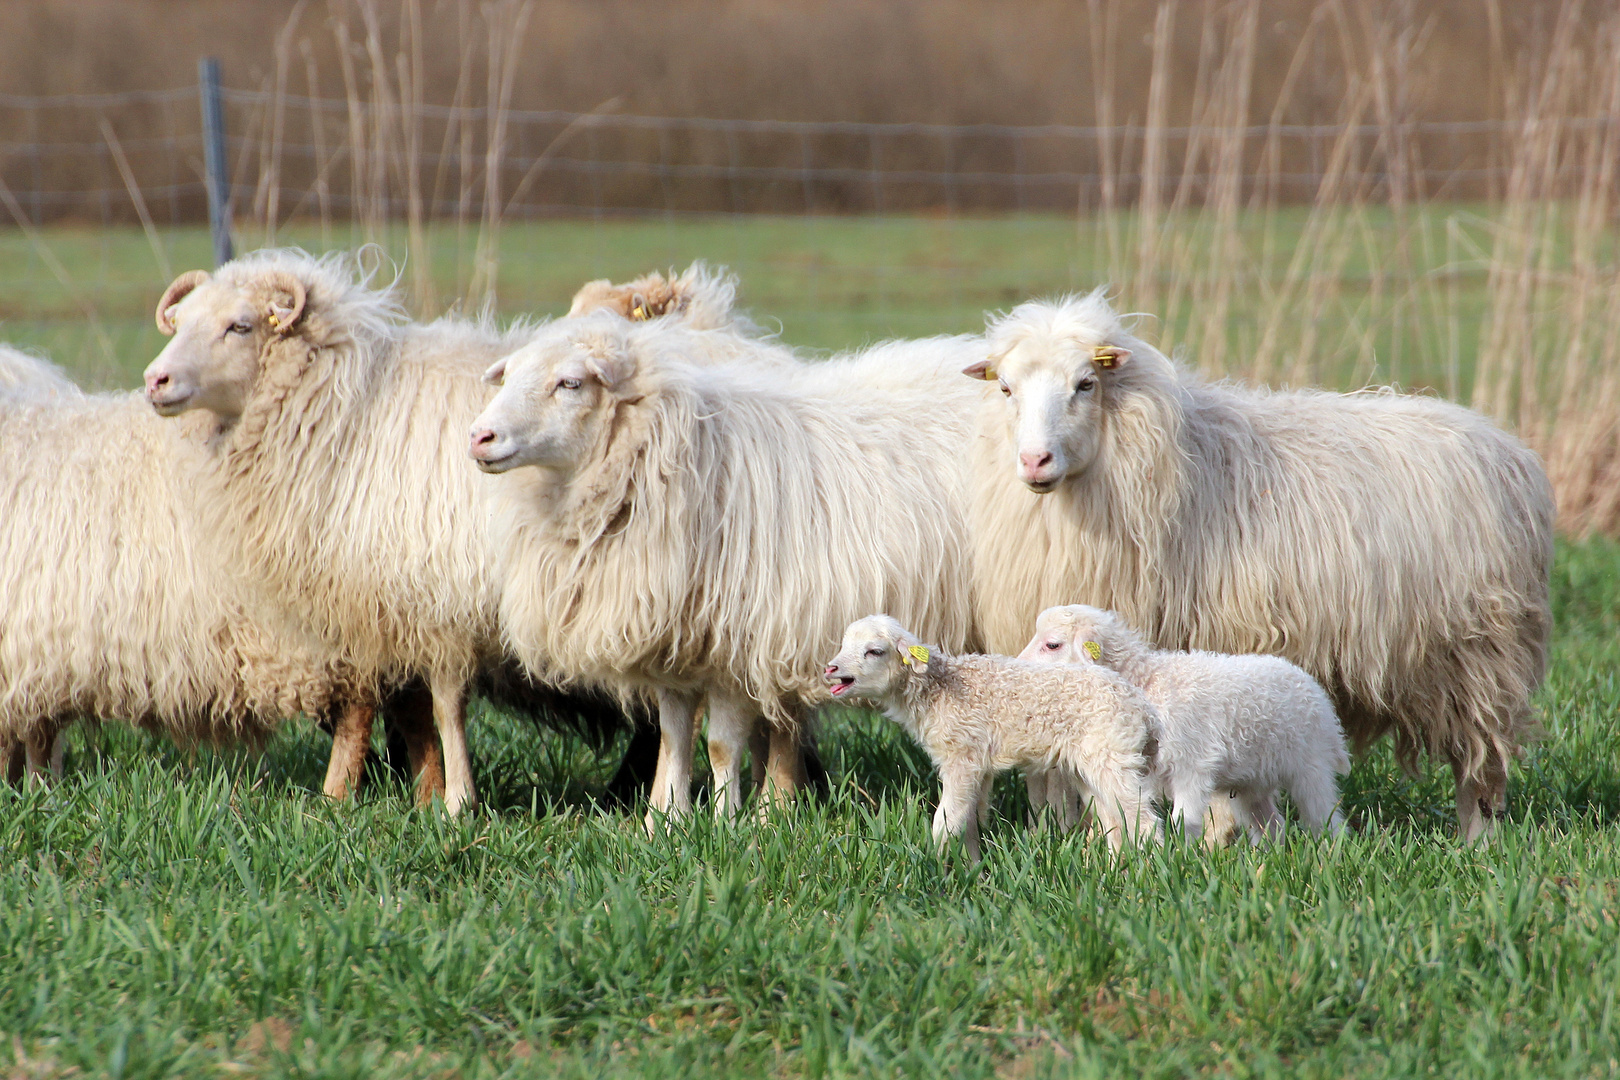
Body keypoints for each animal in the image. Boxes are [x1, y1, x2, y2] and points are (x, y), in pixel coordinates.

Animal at [829, 615, 1159, 861]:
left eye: (875, 651)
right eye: (844, 644)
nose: (831, 669)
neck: (939, 691)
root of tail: (1145, 710)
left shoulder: (962, 758)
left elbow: (945, 821)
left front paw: (930, 865)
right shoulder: (976, 764)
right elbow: (968, 822)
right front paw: (972, 867)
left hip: (1114, 757)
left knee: (1143, 820)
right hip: (1090, 766)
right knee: (1114, 821)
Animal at [959, 291, 1555, 841]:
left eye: (1085, 384)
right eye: (1006, 388)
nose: (1034, 460)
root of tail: (1509, 449)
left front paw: (1211, 842)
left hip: (1476, 661)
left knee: (1480, 768)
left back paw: (1477, 844)